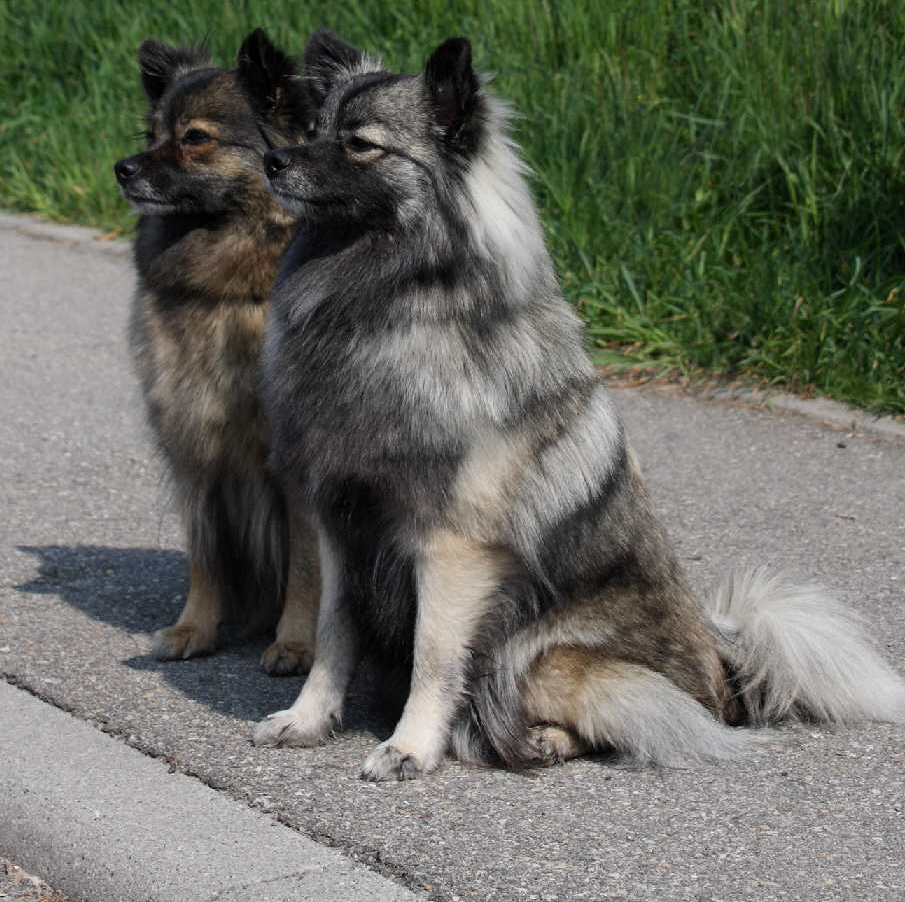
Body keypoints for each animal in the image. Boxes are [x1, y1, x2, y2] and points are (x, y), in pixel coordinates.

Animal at [252, 33, 904, 784]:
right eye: (313, 129)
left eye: (360, 144)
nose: (271, 160)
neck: (388, 307)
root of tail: (727, 662)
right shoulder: (340, 523)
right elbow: (332, 633)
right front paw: (308, 720)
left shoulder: (449, 546)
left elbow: (433, 658)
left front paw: (409, 747)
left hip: (537, 654)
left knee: (638, 715)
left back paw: (543, 741)